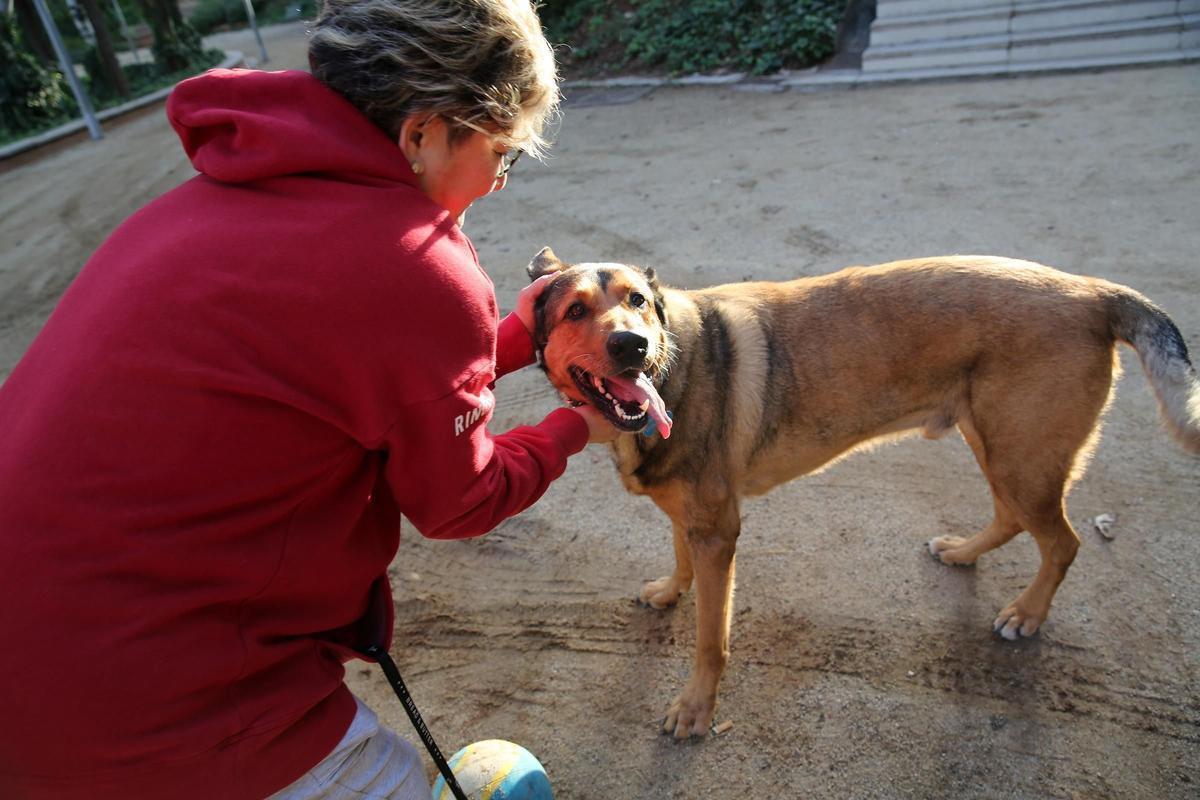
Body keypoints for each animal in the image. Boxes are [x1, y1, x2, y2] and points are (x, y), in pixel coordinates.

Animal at [528, 248, 1200, 738]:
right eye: (574, 312)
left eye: (637, 303)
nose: (632, 346)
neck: (676, 363)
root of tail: (1093, 291)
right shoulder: (692, 517)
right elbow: (678, 554)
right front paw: (671, 590)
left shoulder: (719, 532)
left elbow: (710, 641)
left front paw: (696, 710)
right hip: (998, 446)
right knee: (1013, 519)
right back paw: (962, 553)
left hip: (1021, 457)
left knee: (1062, 542)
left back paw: (1027, 614)